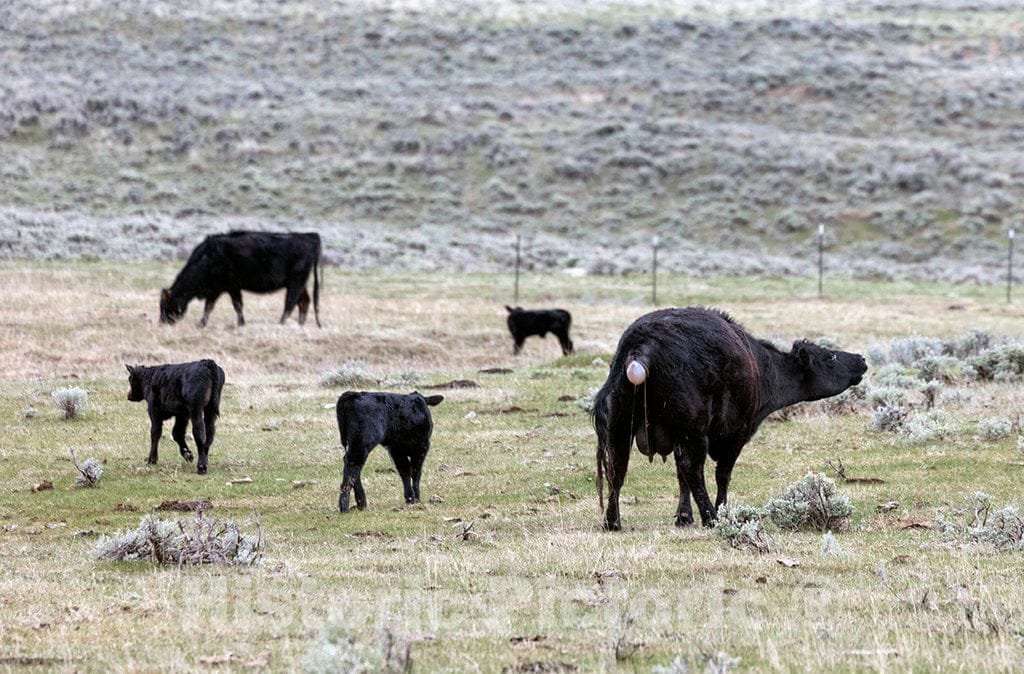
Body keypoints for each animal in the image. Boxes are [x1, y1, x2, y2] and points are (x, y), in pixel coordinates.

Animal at [159, 231, 322, 327]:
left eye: (165, 305)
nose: (162, 323)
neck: (207, 258)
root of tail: (310, 236)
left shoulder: (232, 286)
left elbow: (237, 305)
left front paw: (241, 323)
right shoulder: (215, 289)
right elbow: (209, 306)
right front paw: (202, 324)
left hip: (296, 281)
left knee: (291, 302)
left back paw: (280, 323)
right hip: (300, 283)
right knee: (304, 301)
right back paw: (300, 324)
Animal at [594, 307, 867, 531]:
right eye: (830, 357)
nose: (861, 358)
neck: (761, 367)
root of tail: (642, 344)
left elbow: (680, 476)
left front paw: (684, 516)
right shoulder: (736, 434)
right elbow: (721, 474)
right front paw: (720, 511)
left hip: (621, 424)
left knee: (617, 469)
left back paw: (613, 521)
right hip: (693, 428)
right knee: (692, 468)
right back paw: (711, 517)